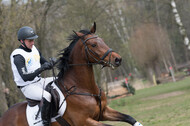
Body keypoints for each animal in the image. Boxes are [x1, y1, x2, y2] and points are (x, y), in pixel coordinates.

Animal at [0, 22, 142, 126]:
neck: (85, 90)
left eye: (101, 40)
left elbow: (130, 119)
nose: (117, 59)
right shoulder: (85, 122)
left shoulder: (104, 112)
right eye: (93, 44)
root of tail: (3, 116)